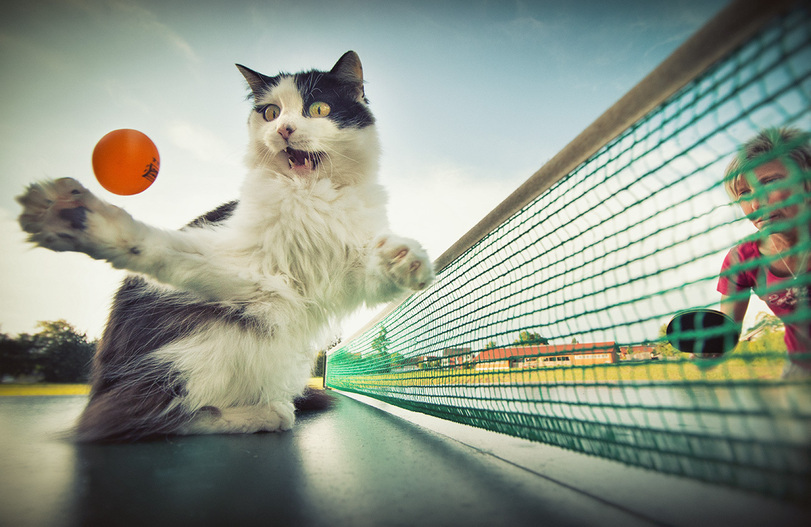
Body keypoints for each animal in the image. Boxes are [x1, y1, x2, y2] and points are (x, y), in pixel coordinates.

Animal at [15, 52, 434, 442]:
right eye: (269, 112)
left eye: (319, 108)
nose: (284, 129)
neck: (310, 196)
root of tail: (98, 392)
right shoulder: (253, 272)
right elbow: (159, 248)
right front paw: (74, 217)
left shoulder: (349, 271)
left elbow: (378, 266)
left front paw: (407, 260)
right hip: (206, 349)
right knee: (149, 418)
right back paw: (268, 414)